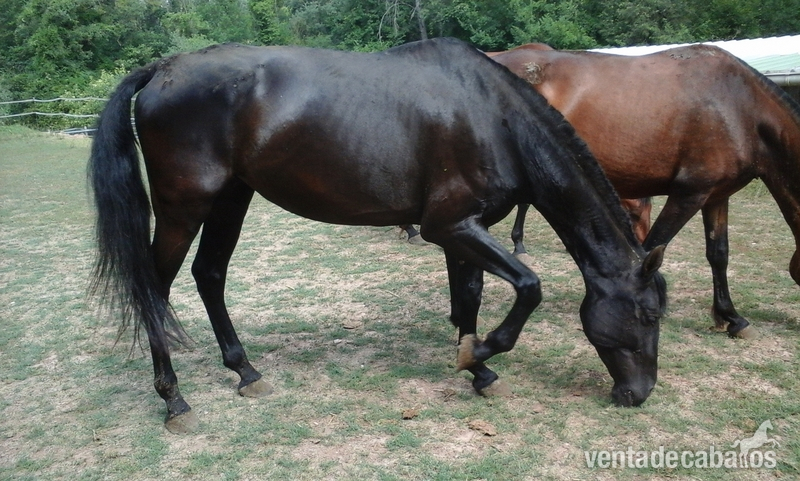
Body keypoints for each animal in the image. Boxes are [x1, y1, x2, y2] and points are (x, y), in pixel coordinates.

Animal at [88, 38, 666, 433]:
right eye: (647, 315)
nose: (638, 394)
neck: (491, 117)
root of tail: (163, 69)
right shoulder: (450, 227)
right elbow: (528, 287)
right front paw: (479, 356)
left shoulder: (466, 229)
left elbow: (471, 295)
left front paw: (476, 369)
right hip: (184, 208)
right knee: (155, 288)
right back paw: (174, 400)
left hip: (232, 198)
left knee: (209, 275)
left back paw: (245, 372)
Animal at [490, 43, 800, 339]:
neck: (740, 106)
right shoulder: (689, 194)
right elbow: (651, 248)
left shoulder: (716, 195)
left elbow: (718, 254)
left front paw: (732, 318)